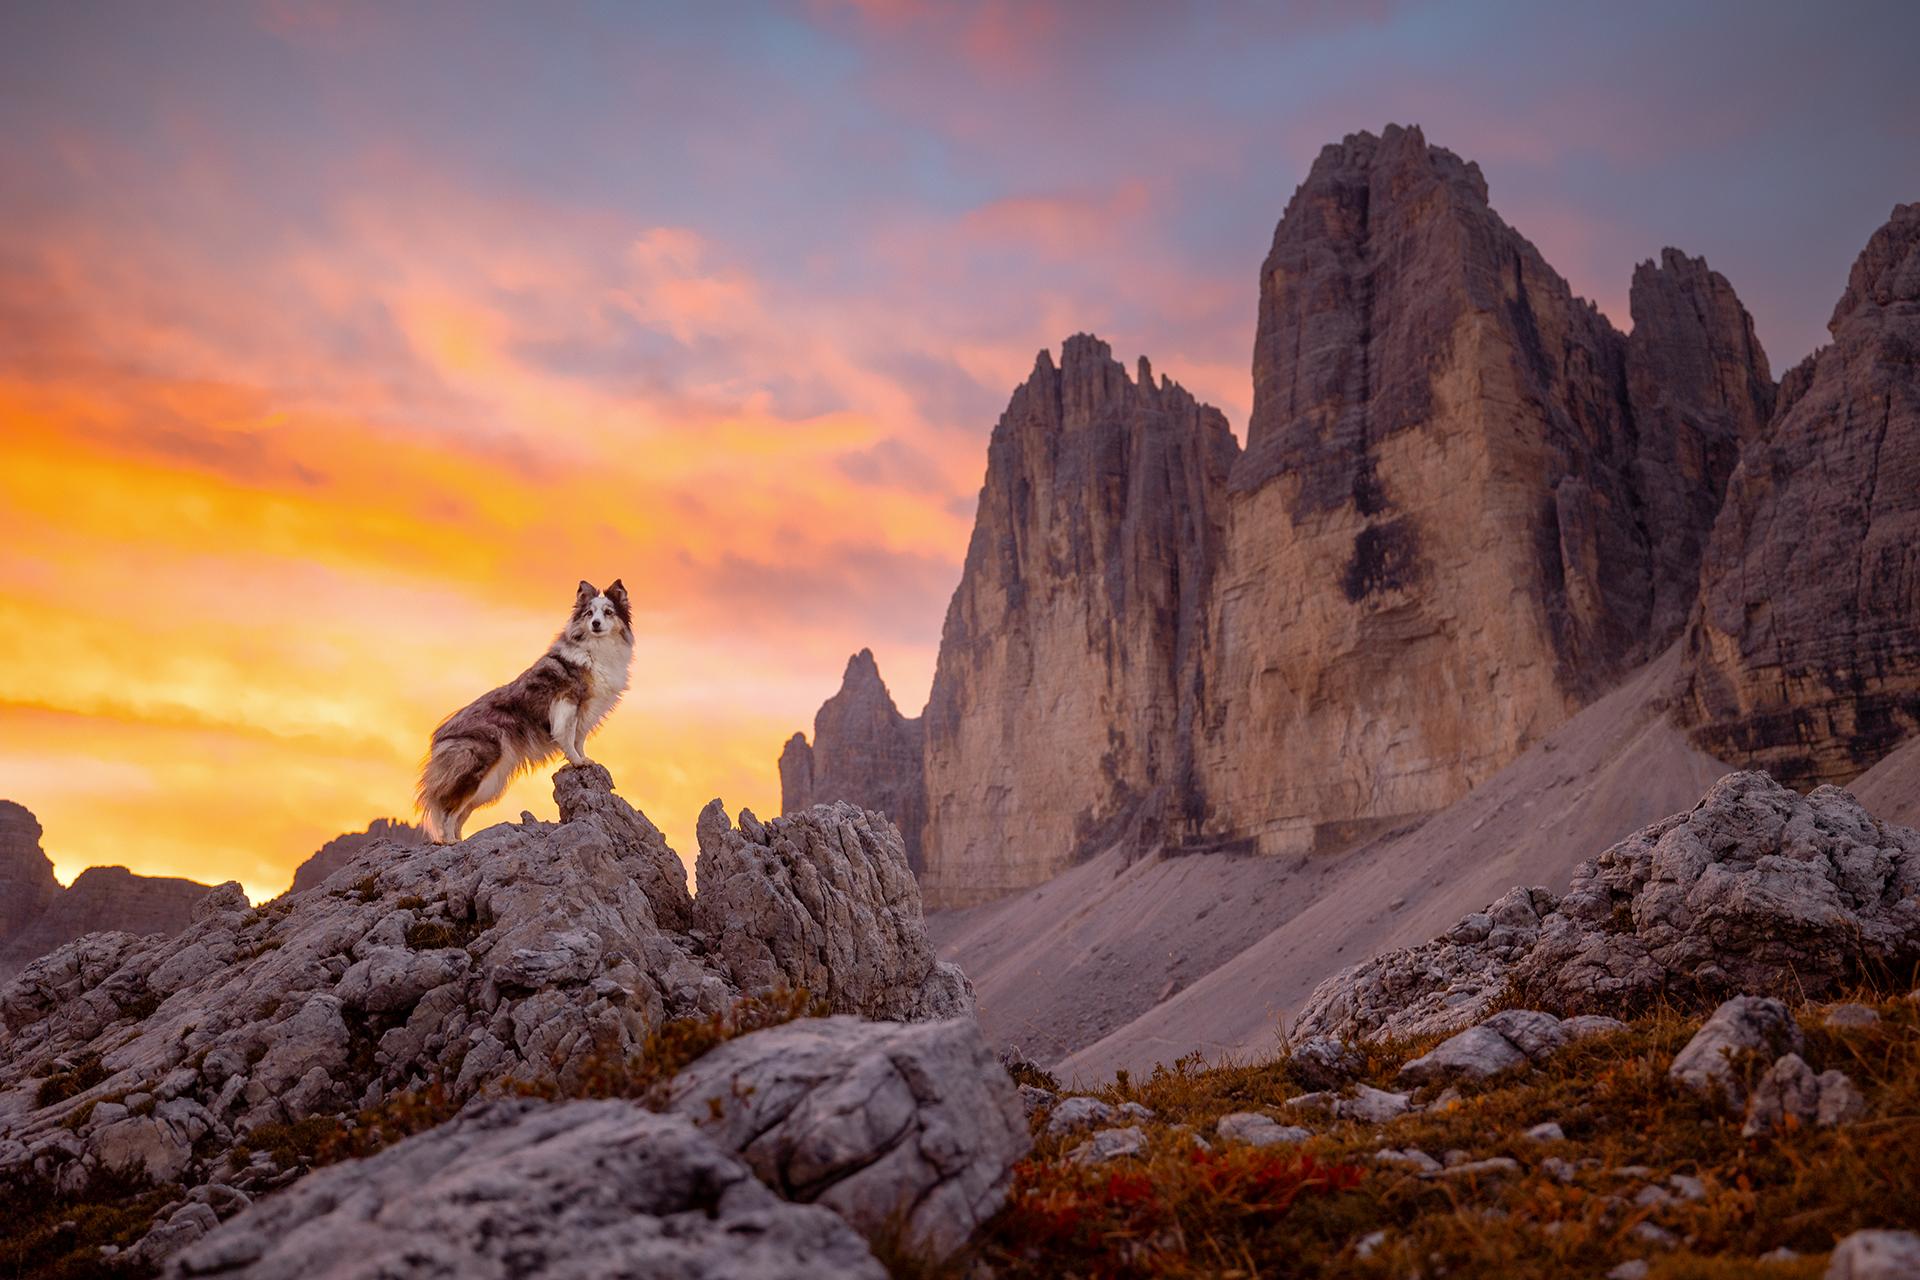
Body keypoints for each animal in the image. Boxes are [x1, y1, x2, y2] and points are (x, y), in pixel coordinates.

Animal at [416, 579, 633, 840]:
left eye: (608, 612)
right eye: (589, 613)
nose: (596, 624)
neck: (597, 648)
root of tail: (438, 736)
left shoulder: (587, 709)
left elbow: (579, 738)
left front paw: (583, 760)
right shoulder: (567, 701)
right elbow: (568, 735)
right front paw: (576, 762)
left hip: (490, 784)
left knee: (460, 814)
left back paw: (460, 840)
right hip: (475, 769)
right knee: (449, 811)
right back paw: (449, 842)